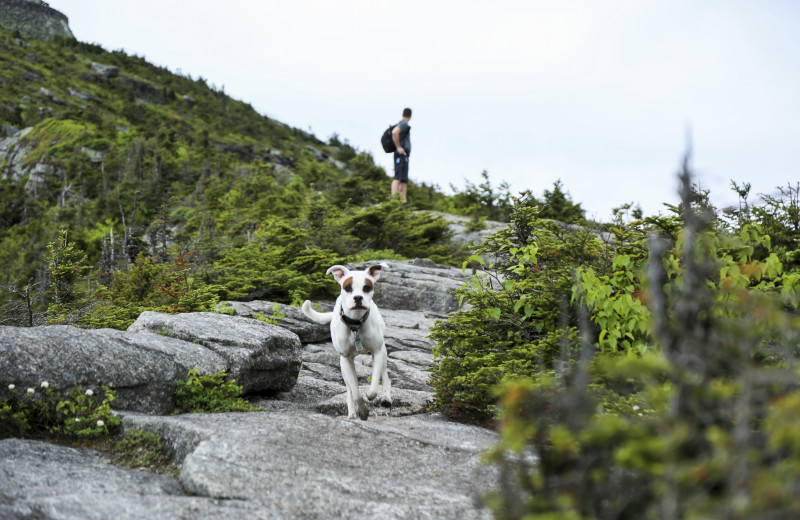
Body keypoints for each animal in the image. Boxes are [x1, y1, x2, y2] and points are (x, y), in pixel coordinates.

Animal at [302, 262, 392, 420]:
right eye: (348, 287)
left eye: (366, 287)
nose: (358, 298)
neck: (355, 325)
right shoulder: (346, 359)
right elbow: (355, 392)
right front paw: (362, 410)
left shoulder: (377, 351)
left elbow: (374, 387)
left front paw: (370, 396)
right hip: (343, 366)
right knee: (349, 389)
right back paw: (351, 413)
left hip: (384, 353)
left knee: (385, 376)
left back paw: (386, 398)